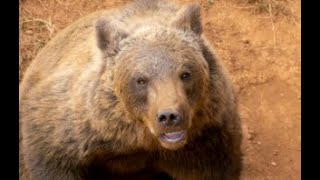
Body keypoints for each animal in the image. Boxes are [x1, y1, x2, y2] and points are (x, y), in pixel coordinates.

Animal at [18, 0, 242, 179]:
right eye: (141, 80)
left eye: (185, 74)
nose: (169, 116)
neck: (141, 140)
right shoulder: (71, 128)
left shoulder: (208, 139)